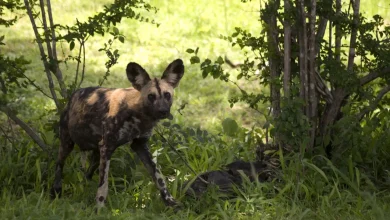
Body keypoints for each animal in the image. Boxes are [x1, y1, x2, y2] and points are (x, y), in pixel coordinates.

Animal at [51, 58, 185, 208]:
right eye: (151, 96)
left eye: (167, 95)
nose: (163, 111)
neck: (138, 115)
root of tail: (74, 95)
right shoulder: (108, 147)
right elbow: (103, 185)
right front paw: (99, 208)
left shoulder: (140, 145)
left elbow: (159, 178)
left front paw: (170, 202)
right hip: (67, 143)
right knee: (59, 165)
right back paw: (56, 191)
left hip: (97, 152)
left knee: (88, 174)